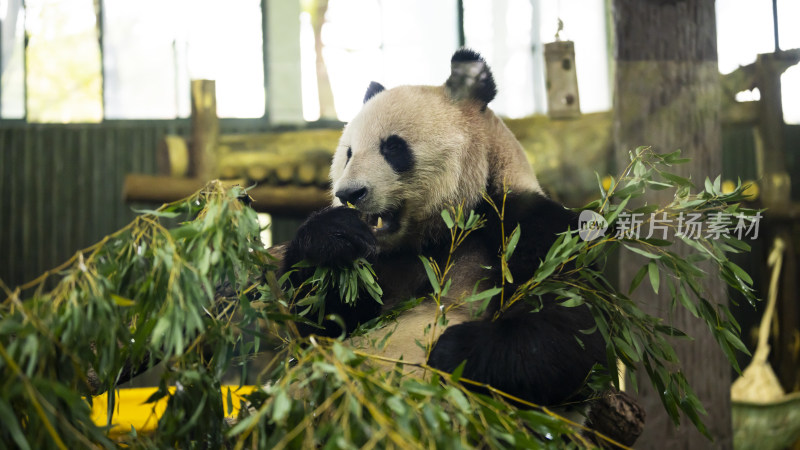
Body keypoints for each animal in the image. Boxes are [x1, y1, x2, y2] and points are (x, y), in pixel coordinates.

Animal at [282, 48, 600, 408]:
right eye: (348, 153)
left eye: (393, 147)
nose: (350, 194)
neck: (445, 230)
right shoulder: (384, 261)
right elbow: (323, 323)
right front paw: (333, 235)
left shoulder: (529, 226)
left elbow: (567, 325)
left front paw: (452, 351)